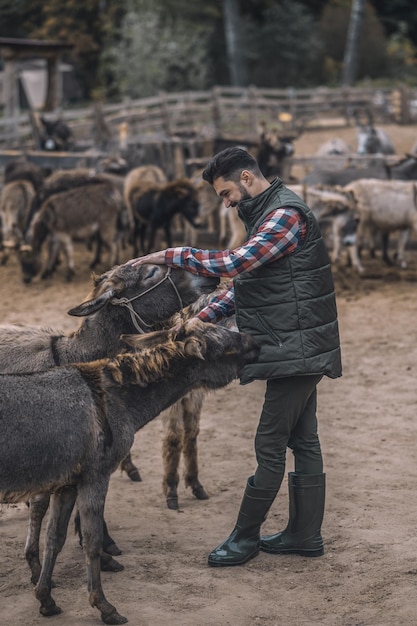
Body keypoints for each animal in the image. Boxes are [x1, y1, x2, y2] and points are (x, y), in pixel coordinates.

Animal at [0, 320, 258, 620]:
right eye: (226, 347)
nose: (258, 342)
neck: (114, 398)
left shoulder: (67, 484)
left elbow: (55, 538)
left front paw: (46, 599)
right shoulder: (95, 477)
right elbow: (91, 541)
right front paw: (104, 606)